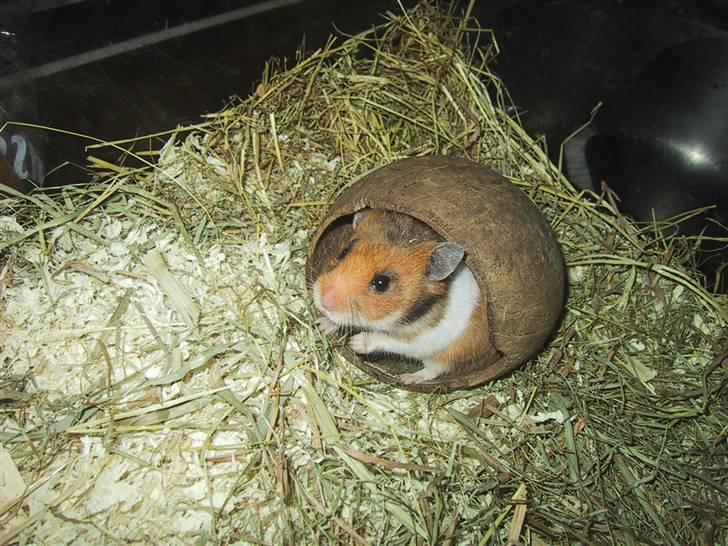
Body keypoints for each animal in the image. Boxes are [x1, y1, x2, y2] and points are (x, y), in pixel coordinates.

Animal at [312, 208, 487, 384]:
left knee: (433, 371)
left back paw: (407, 378)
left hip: (445, 355)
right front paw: (320, 325)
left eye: (381, 283)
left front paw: (355, 343)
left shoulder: (423, 339)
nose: (323, 301)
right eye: (344, 252)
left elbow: (388, 339)